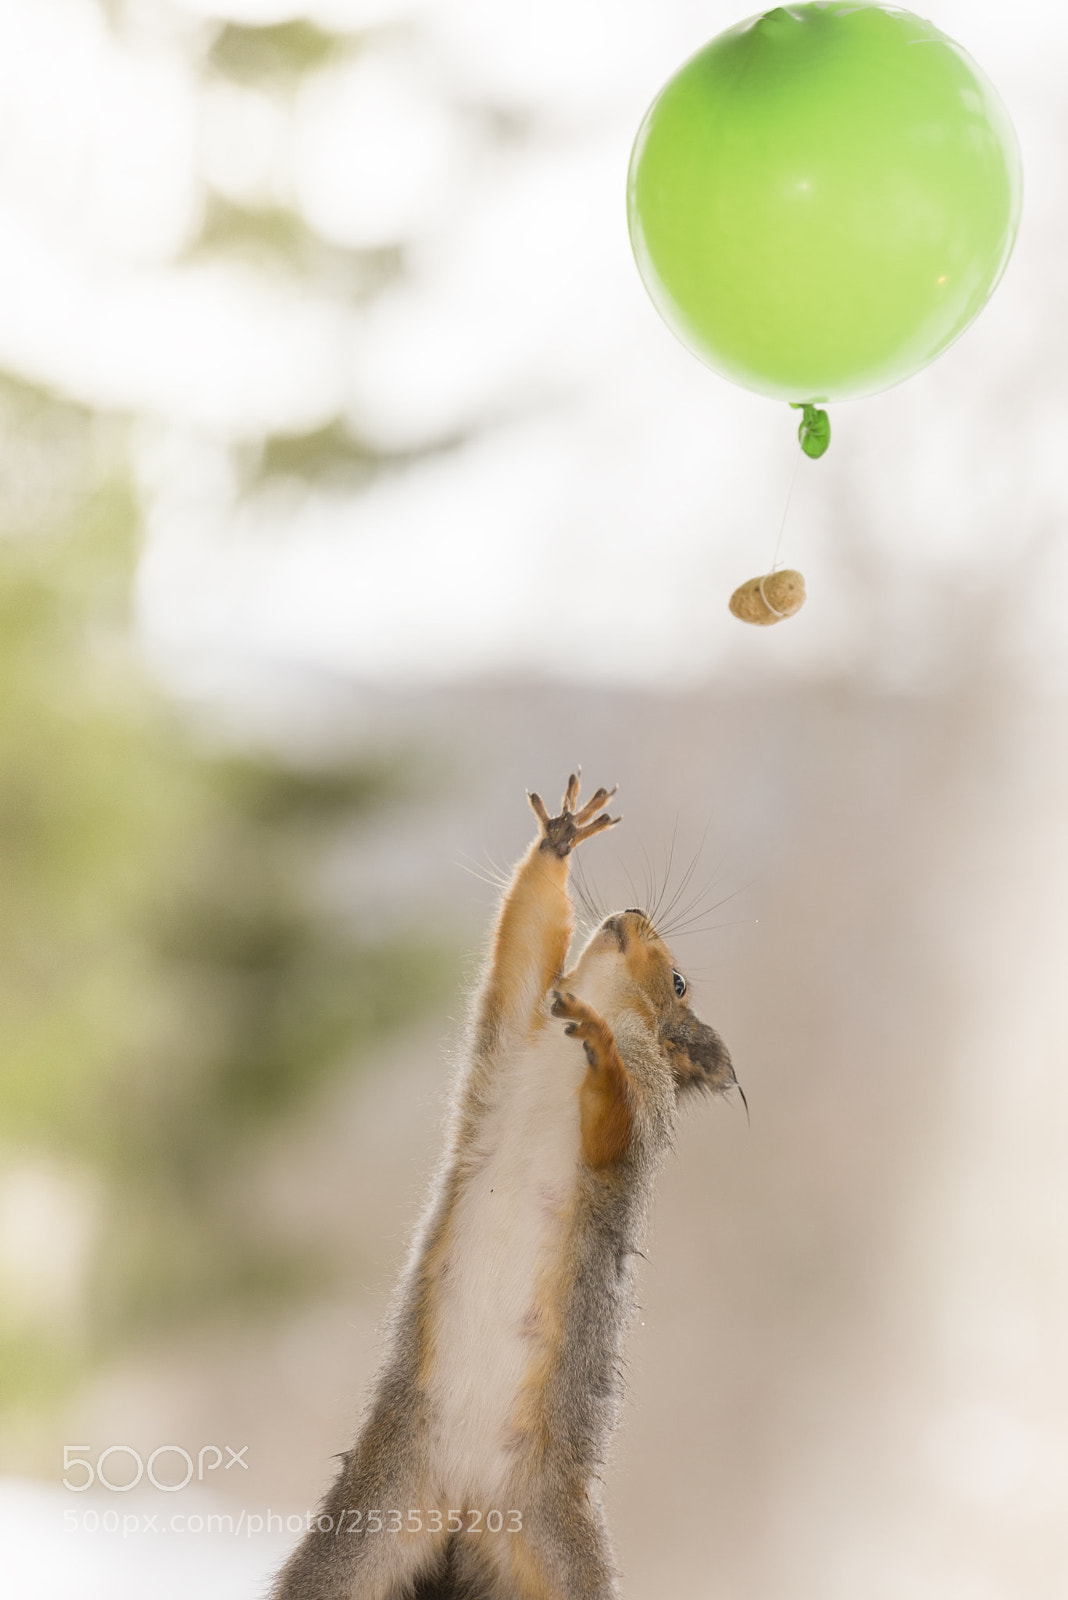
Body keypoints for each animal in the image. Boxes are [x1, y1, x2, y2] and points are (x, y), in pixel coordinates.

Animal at [271, 774, 739, 1600]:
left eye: (679, 982)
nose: (634, 914)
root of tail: (463, 1512)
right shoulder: (518, 1014)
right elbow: (523, 936)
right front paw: (560, 836)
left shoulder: (632, 1130)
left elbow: (613, 1122)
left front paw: (604, 1050)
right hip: (363, 1528)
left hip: (554, 1549)